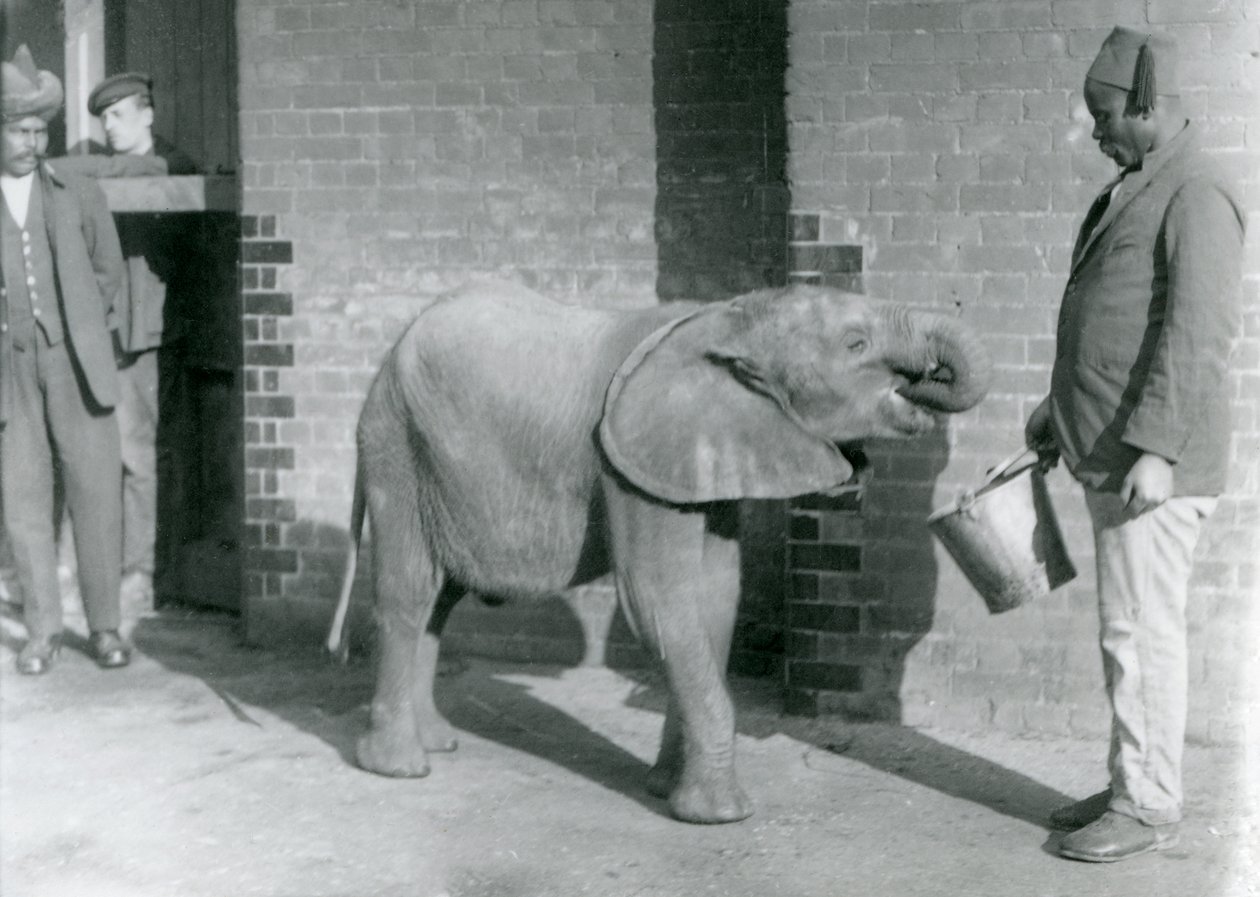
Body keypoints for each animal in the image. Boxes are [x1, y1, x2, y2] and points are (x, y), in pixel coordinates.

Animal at [327, 278, 992, 821]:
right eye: (855, 345)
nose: (929, 378)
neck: (729, 318)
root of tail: (386, 360)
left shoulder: (709, 449)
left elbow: (715, 599)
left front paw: (664, 789)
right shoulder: (627, 461)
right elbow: (656, 598)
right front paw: (720, 815)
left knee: (441, 600)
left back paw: (439, 741)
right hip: (397, 447)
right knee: (411, 590)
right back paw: (400, 766)